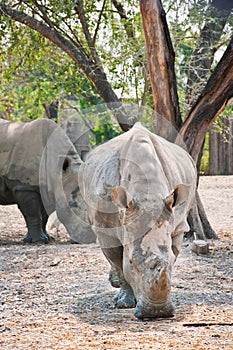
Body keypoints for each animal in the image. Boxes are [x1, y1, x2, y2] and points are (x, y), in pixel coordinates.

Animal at [80, 123, 197, 320]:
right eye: (132, 262)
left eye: (172, 261)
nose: (157, 312)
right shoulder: (104, 229)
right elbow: (118, 261)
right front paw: (124, 302)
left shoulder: (178, 226)